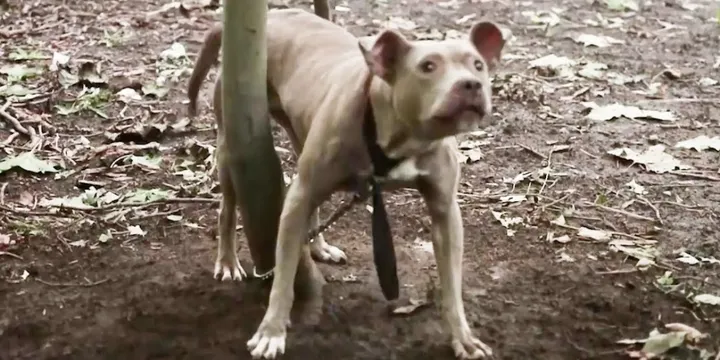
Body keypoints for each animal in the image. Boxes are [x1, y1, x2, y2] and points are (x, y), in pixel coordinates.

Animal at [187, 8, 506, 360]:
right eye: (427, 66)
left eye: (477, 64)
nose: (471, 84)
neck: (395, 137)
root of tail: (276, 15)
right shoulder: (298, 198)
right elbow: (283, 277)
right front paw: (271, 331)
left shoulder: (445, 212)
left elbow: (451, 287)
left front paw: (463, 338)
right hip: (230, 146)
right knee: (228, 208)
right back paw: (228, 262)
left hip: (301, 139)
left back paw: (319, 247)